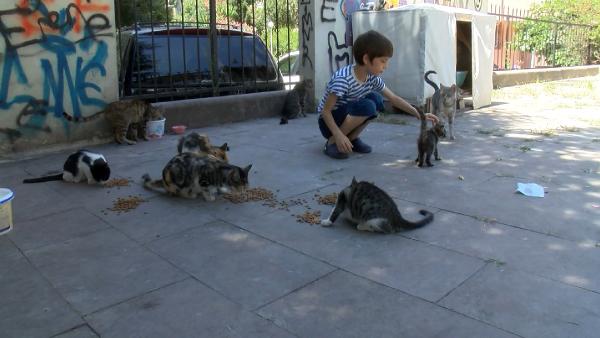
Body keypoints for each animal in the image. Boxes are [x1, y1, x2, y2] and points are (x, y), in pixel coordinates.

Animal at [316, 29, 438, 159]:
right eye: (383, 60)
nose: (386, 67)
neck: (359, 73)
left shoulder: (376, 79)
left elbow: (395, 98)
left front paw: (427, 115)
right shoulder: (340, 82)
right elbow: (327, 111)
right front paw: (340, 140)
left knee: (376, 99)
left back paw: (354, 142)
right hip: (326, 127)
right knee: (367, 105)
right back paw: (333, 144)